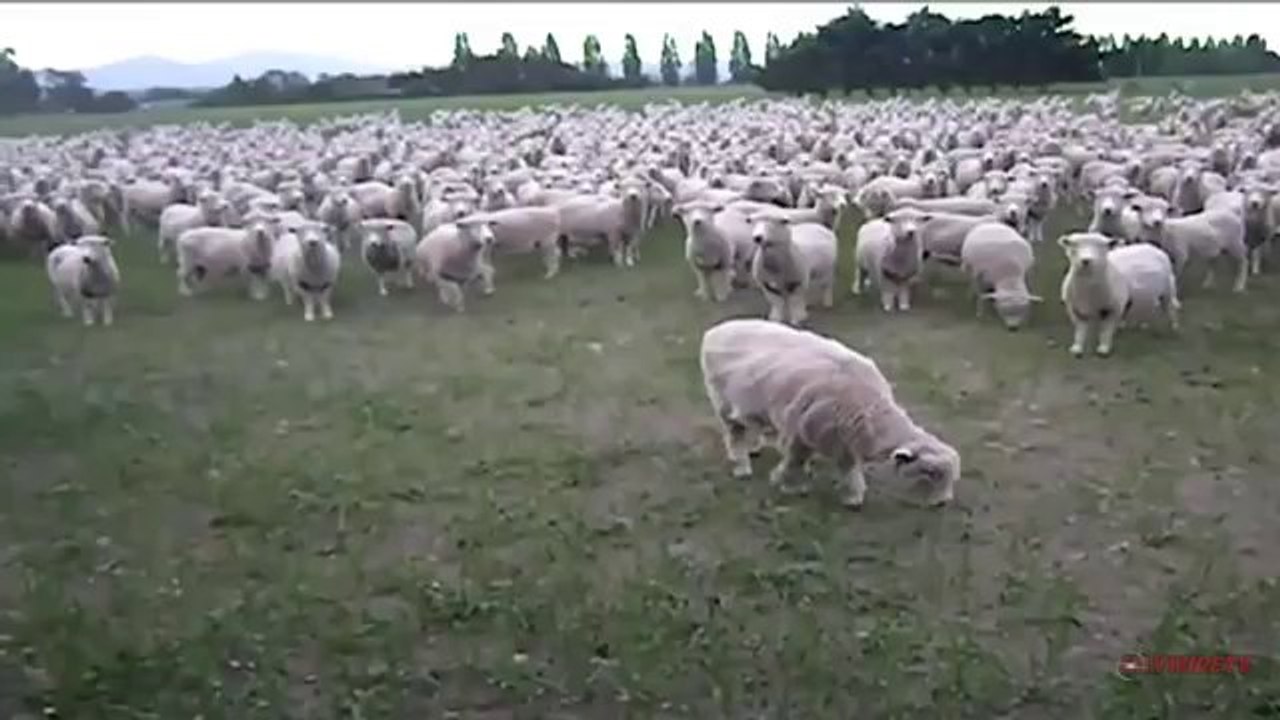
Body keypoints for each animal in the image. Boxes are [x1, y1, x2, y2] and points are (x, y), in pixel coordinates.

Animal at [699, 318, 960, 508]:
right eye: (929, 473)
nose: (942, 503)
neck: (870, 409)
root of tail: (715, 330)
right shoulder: (800, 433)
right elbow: (794, 460)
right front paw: (788, 484)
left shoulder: (843, 439)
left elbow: (848, 468)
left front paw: (853, 497)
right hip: (722, 401)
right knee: (734, 433)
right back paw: (741, 465)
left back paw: (753, 448)